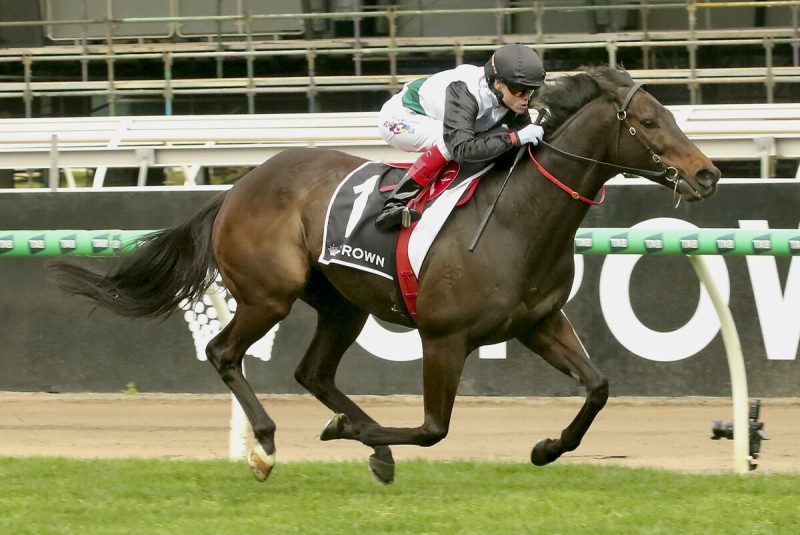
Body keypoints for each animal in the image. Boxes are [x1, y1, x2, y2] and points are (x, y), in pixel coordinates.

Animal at [52, 66, 720, 484]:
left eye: (671, 116)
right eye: (650, 123)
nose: (708, 174)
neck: (519, 219)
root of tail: (240, 185)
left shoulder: (538, 322)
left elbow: (599, 387)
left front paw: (546, 447)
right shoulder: (444, 337)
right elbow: (432, 429)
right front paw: (346, 436)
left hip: (343, 305)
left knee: (313, 372)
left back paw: (364, 437)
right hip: (269, 295)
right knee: (223, 353)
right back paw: (267, 446)